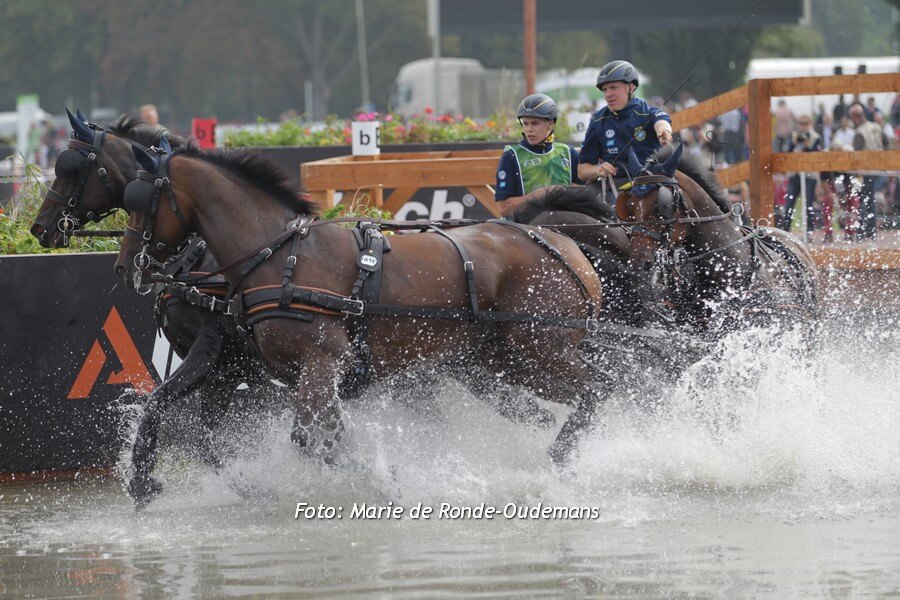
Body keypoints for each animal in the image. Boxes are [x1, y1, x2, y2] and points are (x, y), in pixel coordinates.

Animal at [30, 110, 281, 504]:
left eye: (71, 168)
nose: (40, 228)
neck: (196, 255)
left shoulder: (212, 349)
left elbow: (158, 403)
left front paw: (142, 479)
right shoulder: (228, 368)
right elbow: (206, 437)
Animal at [113, 142, 609, 489]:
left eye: (140, 199)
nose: (125, 266)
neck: (281, 256)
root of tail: (558, 241)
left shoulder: (322, 362)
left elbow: (310, 435)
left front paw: (378, 478)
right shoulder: (282, 369)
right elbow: (317, 435)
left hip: (542, 345)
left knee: (599, 389)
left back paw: (566, 456)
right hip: (505, 358)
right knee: (567, 400)